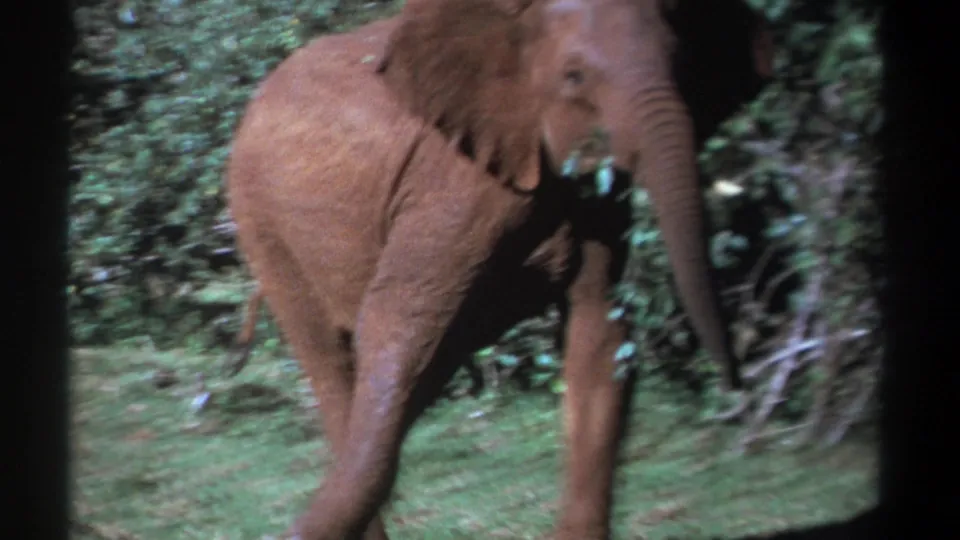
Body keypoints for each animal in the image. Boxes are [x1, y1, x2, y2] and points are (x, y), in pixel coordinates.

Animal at [224, 0, 774, 538]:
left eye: (681, 61)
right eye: (574, 77)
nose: (735, 381)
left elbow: (599, 337)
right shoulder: (455, 184)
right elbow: (396, 321)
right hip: (263, 225)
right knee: (334, 366)